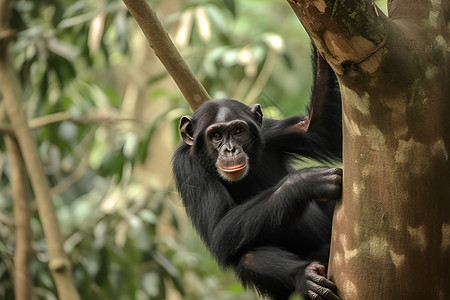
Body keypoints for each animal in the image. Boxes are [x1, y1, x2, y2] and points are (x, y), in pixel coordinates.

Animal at [172, 51, 342, 300]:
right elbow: (218, 227)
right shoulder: (186, 166)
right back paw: (306, 277)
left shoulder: (269, 131)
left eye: (237, 131)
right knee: (248, 257)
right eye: (216, 135)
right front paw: (305, 181)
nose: (230, 149)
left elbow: (317, 130)